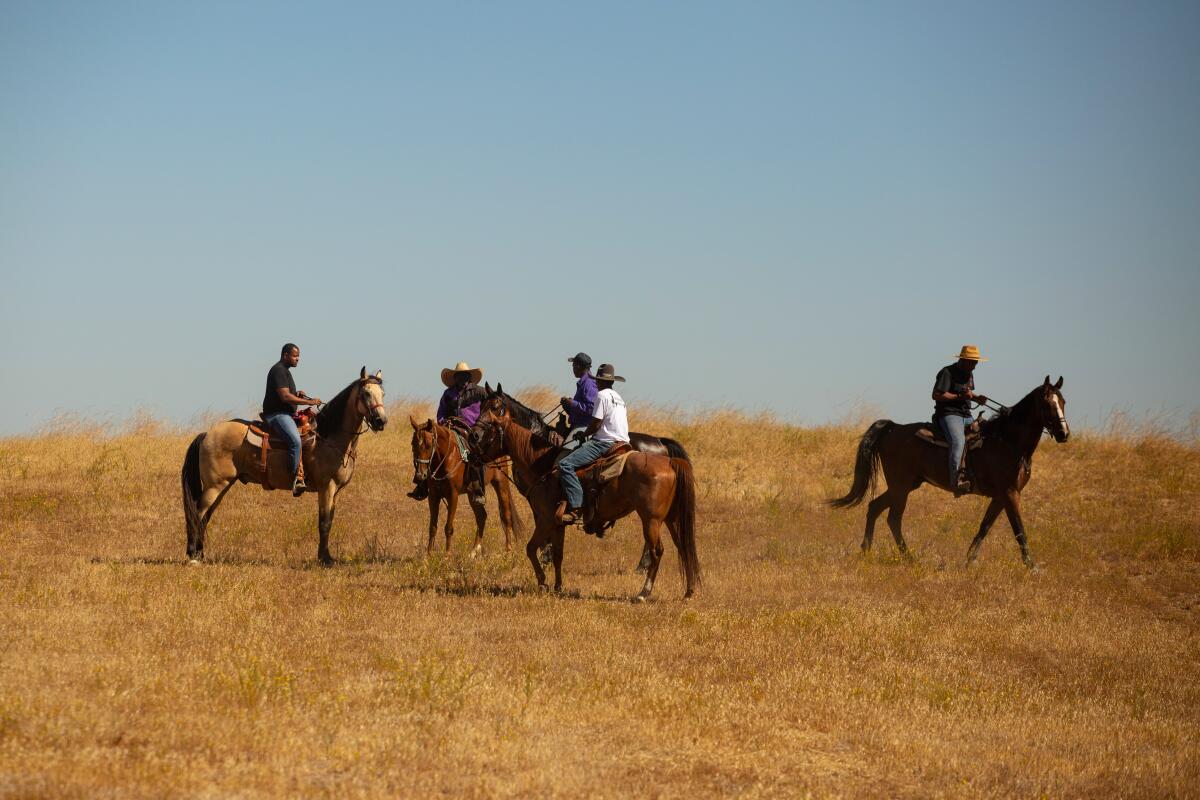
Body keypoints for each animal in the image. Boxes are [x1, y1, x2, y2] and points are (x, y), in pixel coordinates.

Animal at [180, 367, 386, 563]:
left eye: (382, 393)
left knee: (205, 517)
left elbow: (329, 521)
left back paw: (200, 554)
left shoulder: (334, 491)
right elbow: (324, 523)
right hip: (215, 485)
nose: (381, 421)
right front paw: (324, 558)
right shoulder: (326, 487)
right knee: (197, 514)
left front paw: (326, 556)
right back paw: (193, 555)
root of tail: (207, 434)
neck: (329, 438)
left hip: (222, 485)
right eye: (366, 393)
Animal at [410, 419, 518, 556]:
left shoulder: (453, 495)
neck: (447, 457)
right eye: (413, 444)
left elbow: (448, 527)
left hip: (501, 484)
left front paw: (447, 555)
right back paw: (474, 551)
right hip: (472, 494)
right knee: (481, 516)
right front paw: (429, 556)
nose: (420, 476)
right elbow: (432, 527)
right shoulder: (433, 496)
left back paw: (508, 550)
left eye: (429, 445)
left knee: (506, 515)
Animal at [463, 407, 700, 599]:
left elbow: (531, 548)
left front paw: (543, 582)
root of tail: (669, 461)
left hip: (651, 520)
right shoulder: (558, 524)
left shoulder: (546, 519)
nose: (471, 455)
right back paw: (689, 591)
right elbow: (558, 554)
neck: (543, 465)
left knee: (657, 551)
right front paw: (558, 587)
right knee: (683, 546)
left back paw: (644, 592)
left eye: (486, 431)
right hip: (671, 519)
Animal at [830, 379, 1075, 566]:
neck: (1008, 442)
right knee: (893, 518)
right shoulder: (1010, 494)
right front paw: (1031, 566)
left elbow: (984, 527)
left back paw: (866, 551)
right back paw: (908, 558)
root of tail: (892, 427)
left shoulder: (1000, 496)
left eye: (1063, 402)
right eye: (1047, 404)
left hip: (907, 485)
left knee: (874, 507)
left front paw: (969, 561)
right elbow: (1019, 530)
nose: (1064, 434)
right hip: (901, 486)